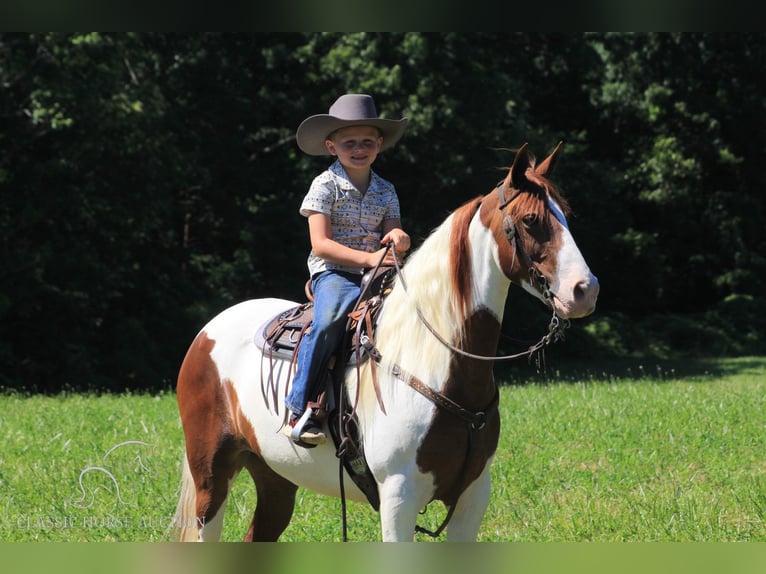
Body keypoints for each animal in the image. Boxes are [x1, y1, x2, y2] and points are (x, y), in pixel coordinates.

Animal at [172, 142, 600, 544]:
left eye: (566, 215)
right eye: (531, 220)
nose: (586, 290)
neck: (436, 364)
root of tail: (206, 333)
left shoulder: (473, 497)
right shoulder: (399, 498)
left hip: (275, 477)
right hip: (211, 476)